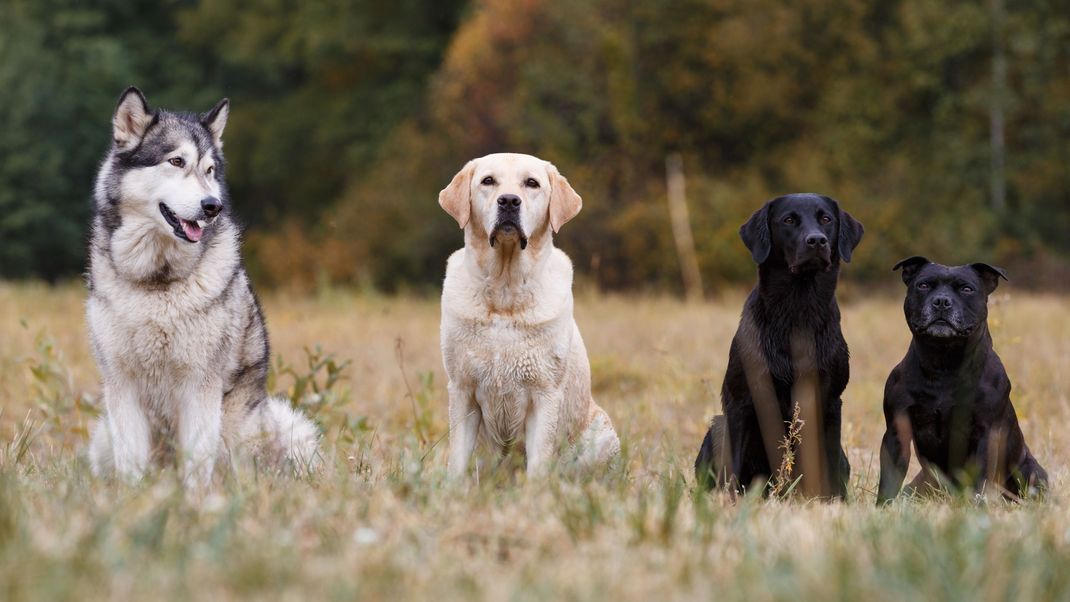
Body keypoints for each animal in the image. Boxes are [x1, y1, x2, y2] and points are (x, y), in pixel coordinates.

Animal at [85, 87, 318, 487]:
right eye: (176, 161)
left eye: (209, 171)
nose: (213, 206)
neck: (157, 281)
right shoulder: (122, 386)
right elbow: (131, 464)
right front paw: (133, 498)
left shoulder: (199, 386)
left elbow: (196, 465)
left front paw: (195, 500)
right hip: (103, 436)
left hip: (271, 431)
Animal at [434, 152, 620, 479]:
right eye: (488, 181)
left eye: (531, 183)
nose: (509, 201)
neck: (504, 292)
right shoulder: (462, 389)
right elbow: (457, 461)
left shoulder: (544, 393)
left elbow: (538, 462)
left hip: (603, 435)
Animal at [697, 194, 864, 500]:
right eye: (788, 220)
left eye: (826, 219)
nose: (817, 240)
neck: (797, 311)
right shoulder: (741, 400)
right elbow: (733, 465)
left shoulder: (831, 401)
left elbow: (829, 462)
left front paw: (834, 502)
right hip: (716, 427)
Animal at [877, 256, 1044, 502]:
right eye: (923, 285)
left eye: (967, 289)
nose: (941, 302)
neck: (944, 363)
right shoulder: (897, 432)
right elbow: (888, 481)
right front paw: (882, 506)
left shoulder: (986, 432)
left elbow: (980, 480)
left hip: (1031, 475)